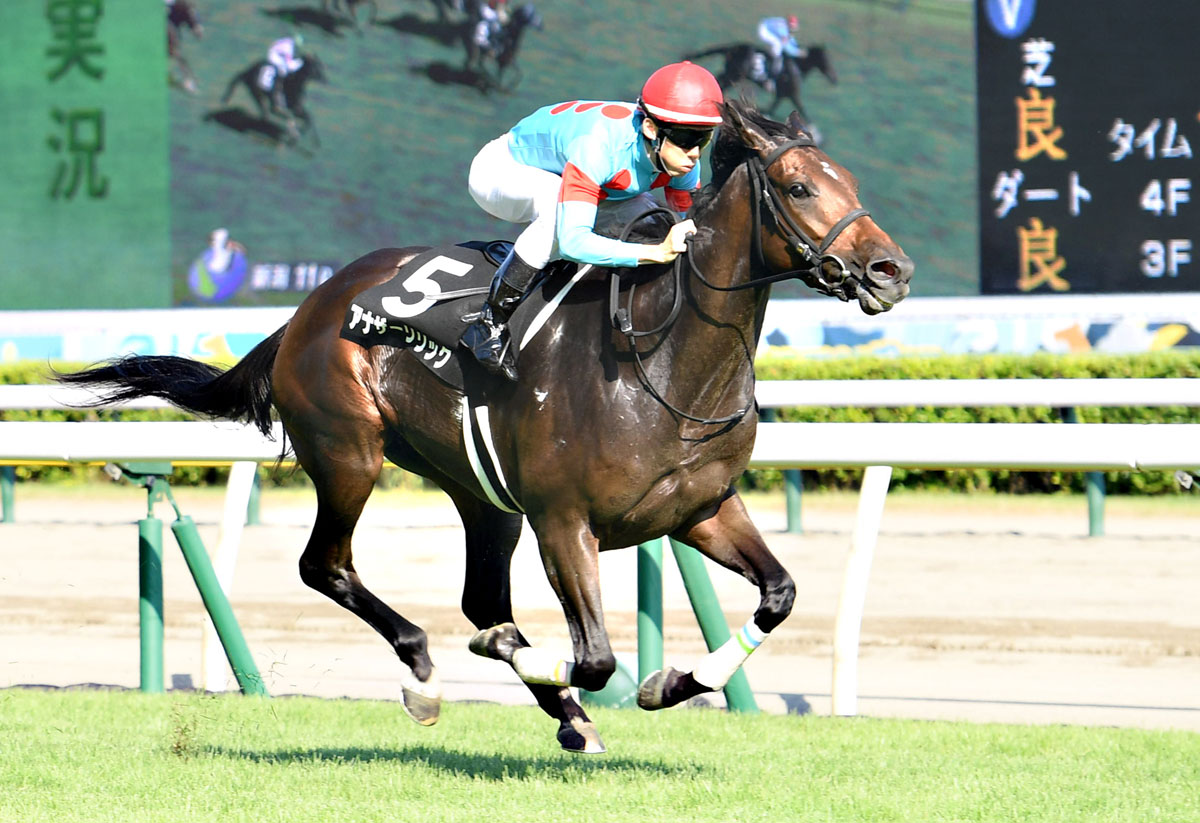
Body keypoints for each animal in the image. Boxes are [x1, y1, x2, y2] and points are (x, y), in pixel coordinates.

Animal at [58, 102, 912, 754]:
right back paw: (428, 672)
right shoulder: (564, 521)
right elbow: (594, 657)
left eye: (851, 183)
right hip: (349, 452)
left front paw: (676, 680)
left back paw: (557, 713)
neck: (665, 362)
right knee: (327, 567)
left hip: (481, 493)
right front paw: (559, 672)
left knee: (476, 597)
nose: (890, 271)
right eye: (799, 187)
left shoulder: (698, 507)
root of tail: (306, 310)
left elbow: (779, 592)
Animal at [685, 43, 837, 120]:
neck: (796, 67)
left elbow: (771, 109)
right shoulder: (792, 95)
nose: (834, 78)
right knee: (721, 83)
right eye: (825, 60)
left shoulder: (781, 96)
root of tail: (733, 48)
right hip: (734, 75)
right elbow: (804, 112)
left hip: (731, 73)